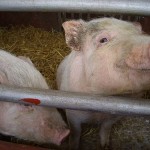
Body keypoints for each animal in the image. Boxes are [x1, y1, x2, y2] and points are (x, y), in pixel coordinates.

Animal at [56, 17, 150, 150]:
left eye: (139, 33)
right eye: (103, 40)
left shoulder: (114, 117)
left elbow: (106, 128)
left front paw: (104, 146)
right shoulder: (72, 114)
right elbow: (75, 132)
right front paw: (73, 146)